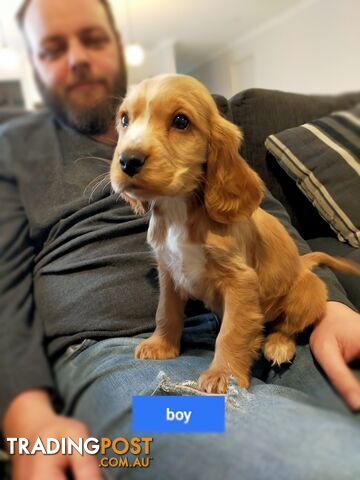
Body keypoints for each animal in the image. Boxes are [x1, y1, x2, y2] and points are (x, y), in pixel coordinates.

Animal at [111, 72, 358, 394]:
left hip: (309, 293)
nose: (128, 160)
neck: (179, 209)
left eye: (181, 121)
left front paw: (222, 375)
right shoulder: (169, 272)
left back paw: (278, 345)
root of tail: (302, 265)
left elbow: (231, 331)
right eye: (124, 119)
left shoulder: (240, 281)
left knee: (287, 327)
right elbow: (166, 311)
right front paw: (161, 345)